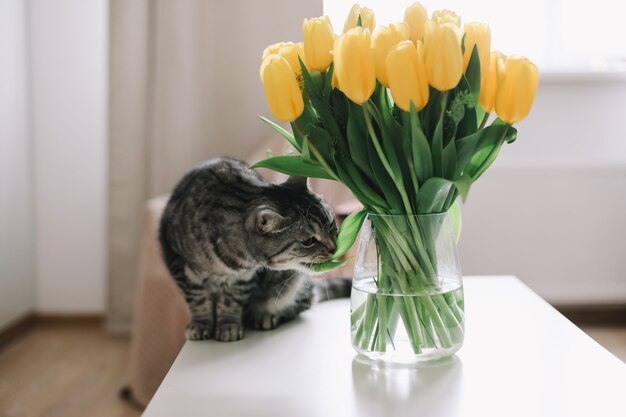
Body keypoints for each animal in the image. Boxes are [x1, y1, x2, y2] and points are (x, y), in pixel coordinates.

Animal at [158, 158, 348, 340]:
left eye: (331, 225)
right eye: (308, 241)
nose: (334, 248)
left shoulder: (245, 277)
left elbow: (232, 301)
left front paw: (229, 325)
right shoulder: (181, 265)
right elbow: (197, 301)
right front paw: (201, 325)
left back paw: (265, 316)